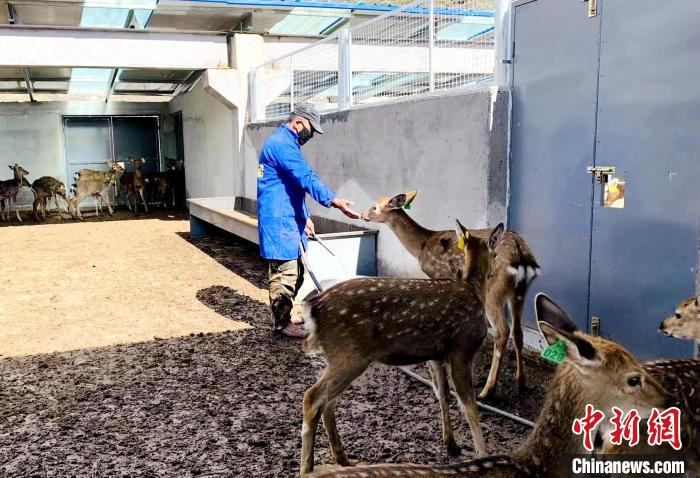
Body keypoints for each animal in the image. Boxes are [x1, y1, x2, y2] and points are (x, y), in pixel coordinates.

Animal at [300, 222, 508, 476]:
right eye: (495, 253)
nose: (496, 272)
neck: (474, 290)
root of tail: (312, 309)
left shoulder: (436, 356)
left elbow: (443, 394)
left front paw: (452, 444)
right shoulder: (462, 349)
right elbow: (469, 405)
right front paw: (484, 455)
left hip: (341, 356)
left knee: (328, 402)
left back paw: (343, 459)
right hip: (348, 354)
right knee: (312, 398)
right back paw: (307, 467)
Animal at [364, 191, 540, 400]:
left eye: (374, 207)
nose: (362, 215)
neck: (422, 247)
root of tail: (522, 256)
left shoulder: (441, 274)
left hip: (494, 292)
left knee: (502, 331)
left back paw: (487, 390)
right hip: (520, 293)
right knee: (517, 331)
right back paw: (520, 382)